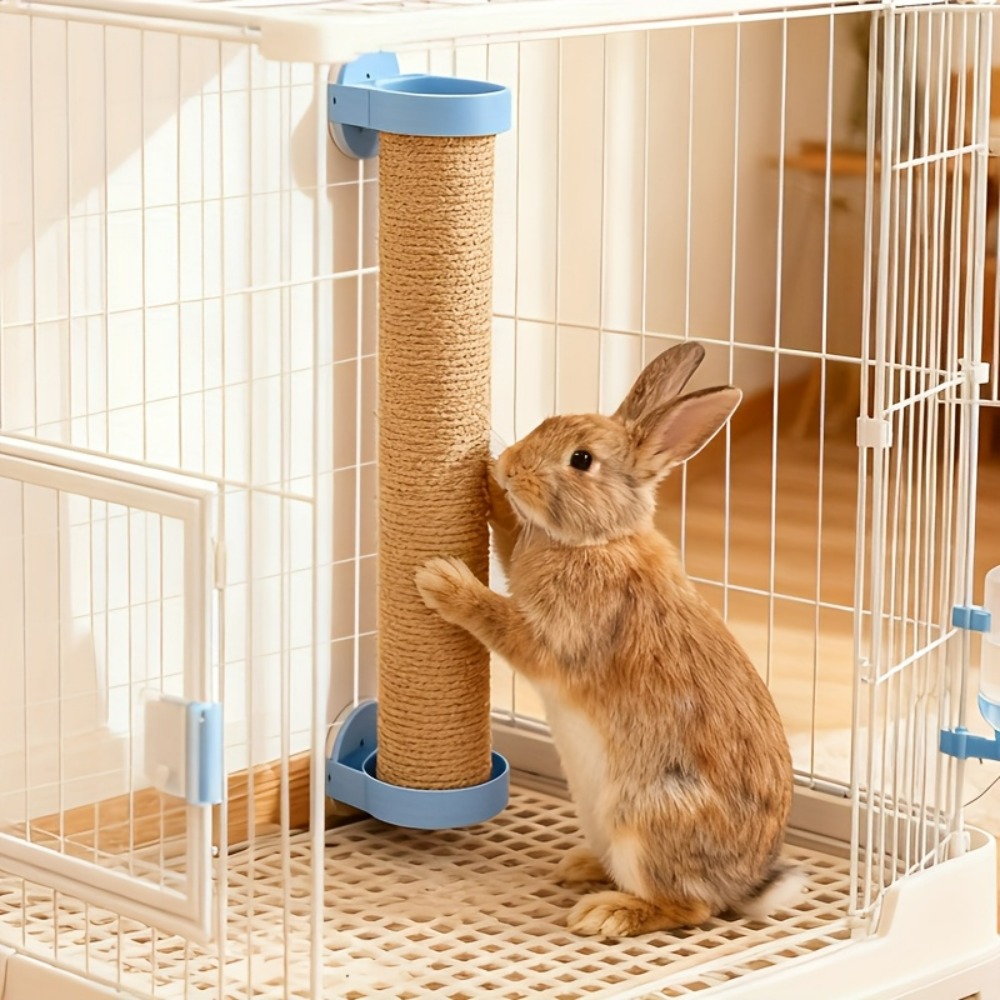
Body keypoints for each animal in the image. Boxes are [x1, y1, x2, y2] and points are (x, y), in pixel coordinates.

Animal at [415, 341, 801, 938]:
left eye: (581, 460)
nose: (511, 466)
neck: (598, 541)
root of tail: (744, 887)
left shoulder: (558, 636)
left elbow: (502, 622)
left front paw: (443, 581)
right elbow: (510, 535)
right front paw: (487, 481)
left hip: (646, 825)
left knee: (690, 908)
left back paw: (607, 913)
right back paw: (582, 865)